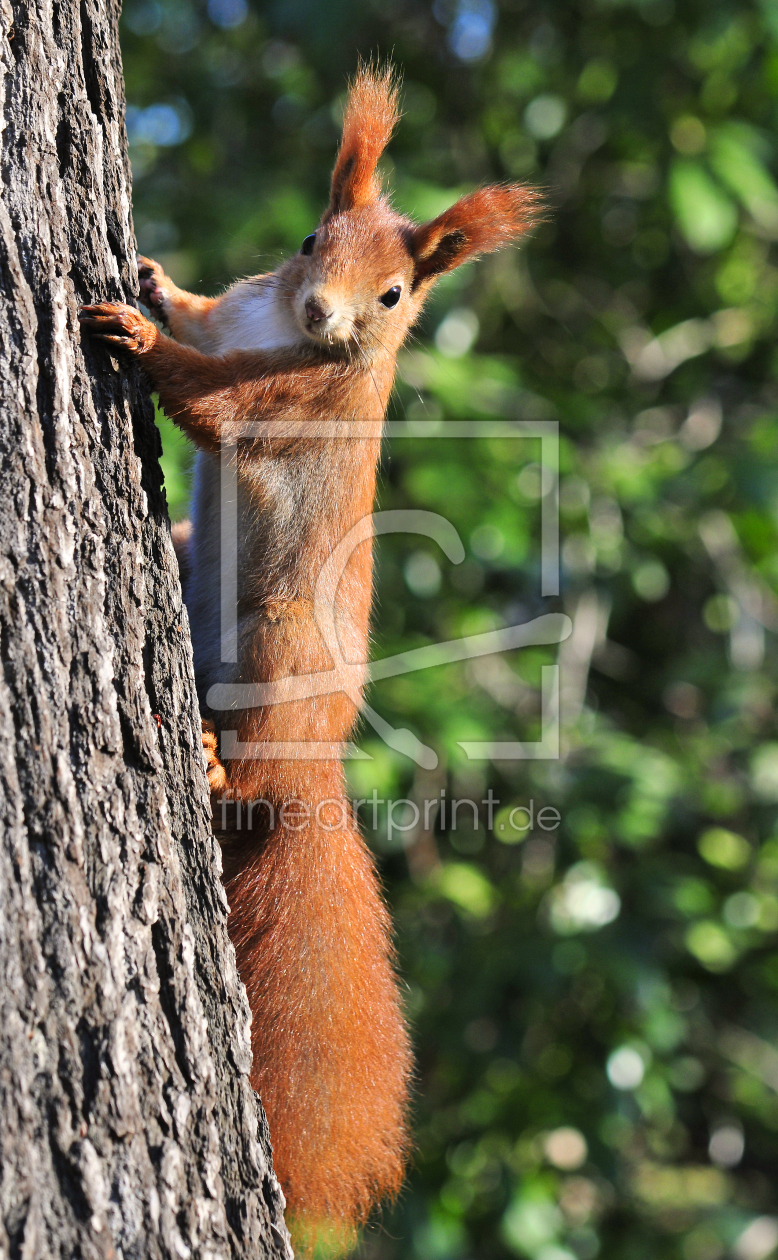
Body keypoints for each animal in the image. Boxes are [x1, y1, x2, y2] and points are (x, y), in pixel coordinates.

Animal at [80, 66, 539, 1249]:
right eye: (304, 242)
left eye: (395, 296)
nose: (322, 313)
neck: (281, 325)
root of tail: (312, 773)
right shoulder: (244, 306)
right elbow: (204, 311)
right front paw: (155, 278)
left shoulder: (291, 404)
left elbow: (213, 397)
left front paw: (137, 334)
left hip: (279, 653)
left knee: (249, 766)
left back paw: (214, 763)